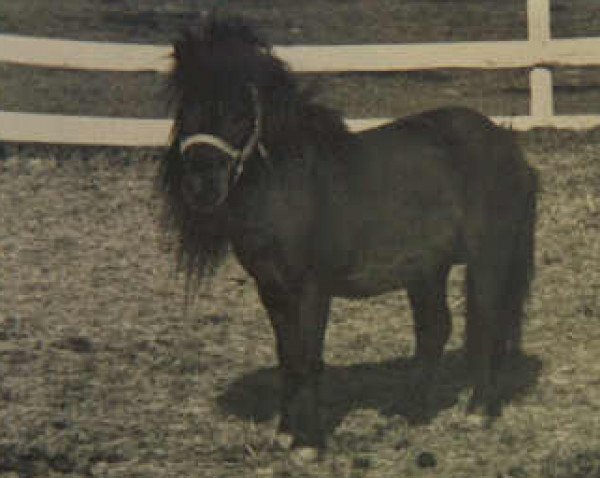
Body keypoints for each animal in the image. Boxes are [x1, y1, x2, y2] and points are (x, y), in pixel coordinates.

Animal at [156, 17, 540, 448]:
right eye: (185, 109)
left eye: (240, 115)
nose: (200, 187)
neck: (290, 184)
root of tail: (508, 145)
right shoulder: (271, 289)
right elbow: (288, 357)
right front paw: (285, 433)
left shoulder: (311, 288)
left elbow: (308, 358)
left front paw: (308, 443)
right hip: (426, 269)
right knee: (435, 329)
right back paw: (411, 410)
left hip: (489, 258)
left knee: (488, 324)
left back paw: (478, 411)